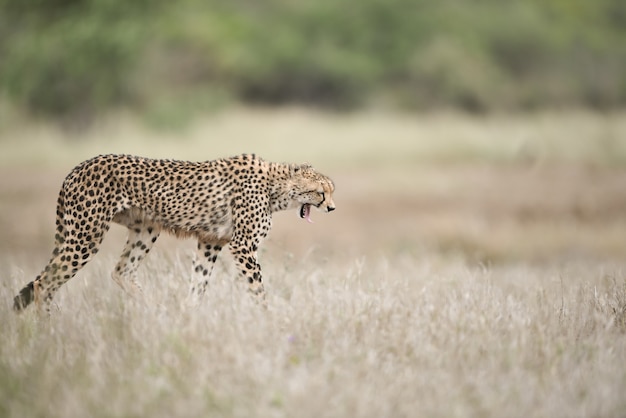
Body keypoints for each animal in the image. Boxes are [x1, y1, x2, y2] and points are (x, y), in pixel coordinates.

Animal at [12, 152, 334, 312]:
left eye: (331, 191)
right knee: (43, 284)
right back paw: (47, 333)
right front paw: (269, 321)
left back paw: (154, 309)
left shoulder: (210, 241)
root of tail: (76, 168)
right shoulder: (242, 245)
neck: (277, 186)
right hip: (85, 235)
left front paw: (189, 316)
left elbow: (198, 284)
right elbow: (258, 289)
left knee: (121, 272)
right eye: (321, 192)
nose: (331, 208)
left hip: (145, 229)